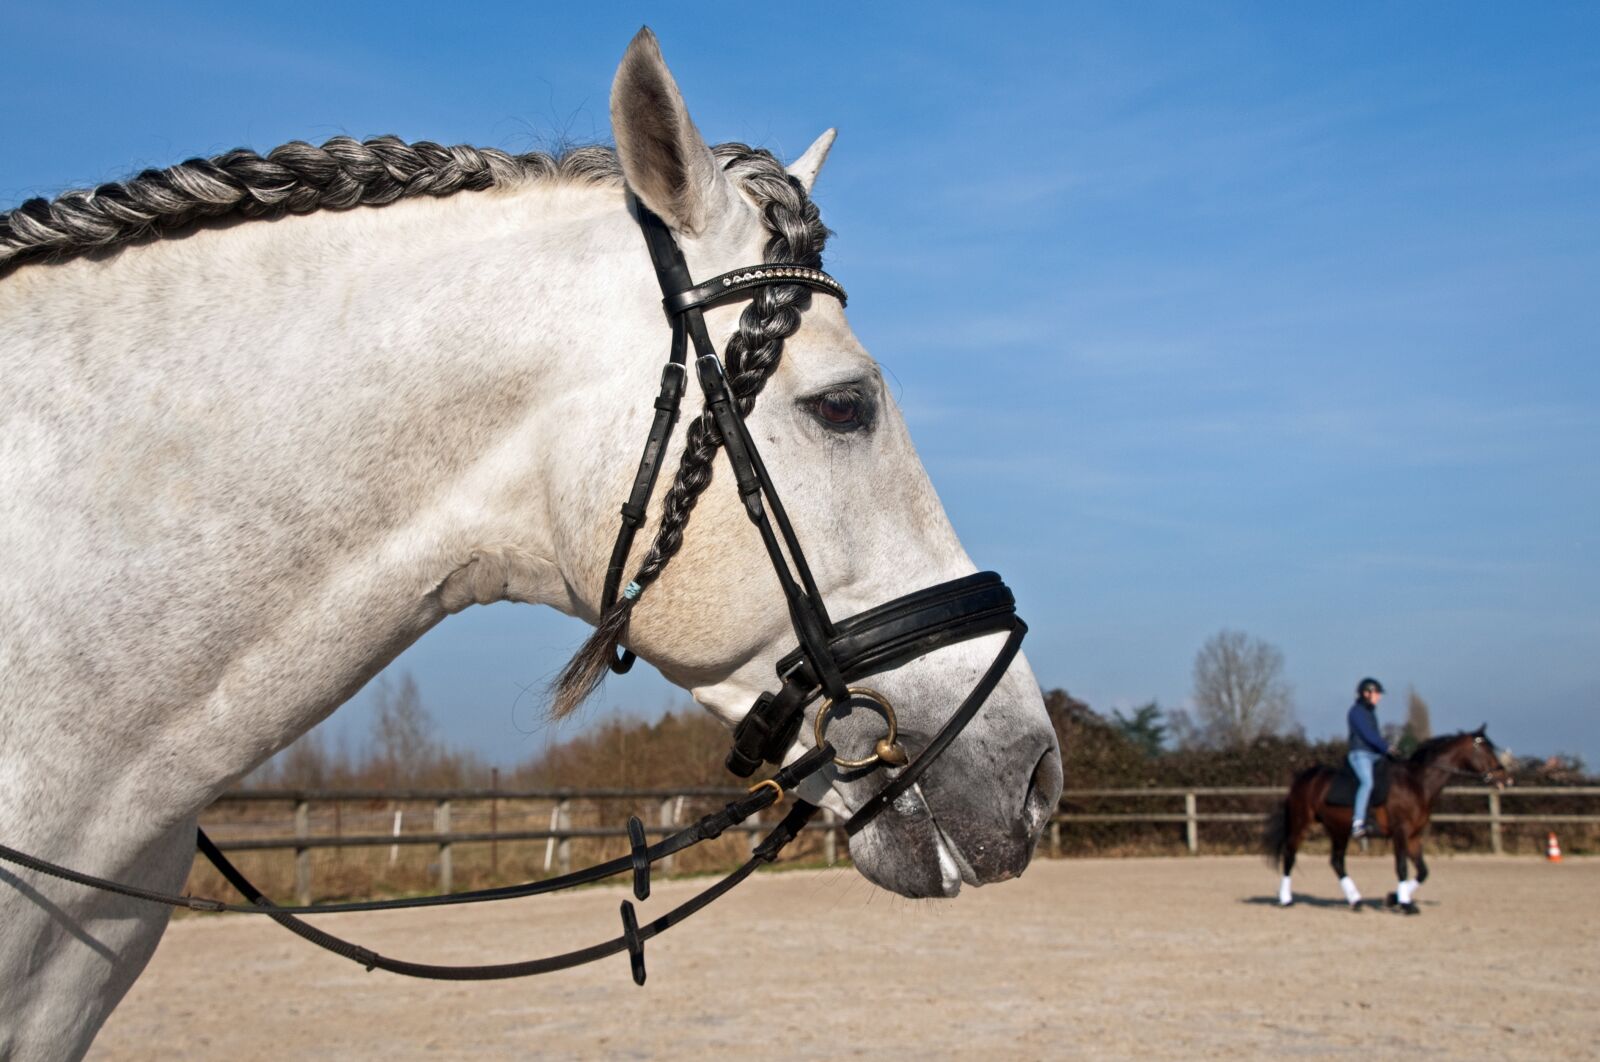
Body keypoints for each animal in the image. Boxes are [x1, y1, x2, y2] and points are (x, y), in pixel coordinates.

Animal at [1264, 727, 1510, 914]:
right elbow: (1401, 867)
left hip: (1338, 829)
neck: (1416, 783)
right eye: (1485, 750)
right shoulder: (1400, 832)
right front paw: (1404, 904)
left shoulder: (1414, 836)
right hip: (1301, 824)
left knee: (1337, 862)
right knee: (1290, 855)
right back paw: (1286, 899)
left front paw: (1395, 898)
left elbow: (1422, 871)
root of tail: (1304, 778)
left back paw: (1355, 901)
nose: (1506, 780)